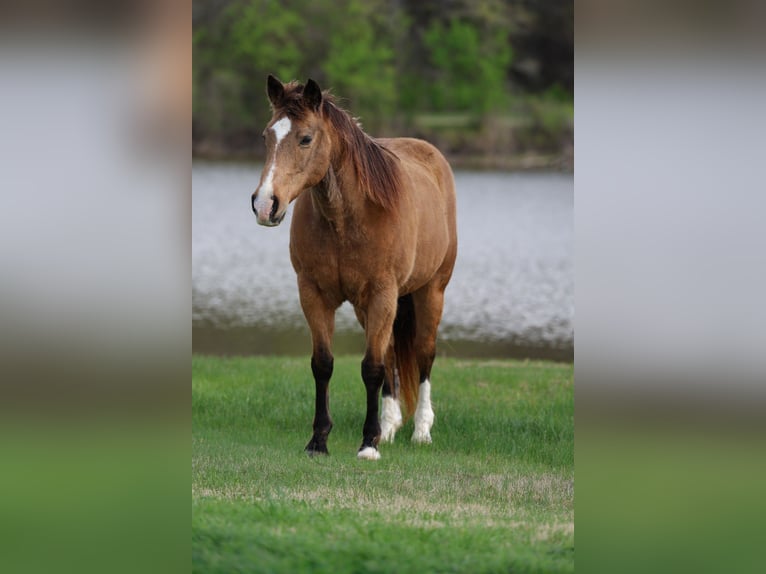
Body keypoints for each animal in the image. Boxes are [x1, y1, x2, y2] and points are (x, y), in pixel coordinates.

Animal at [251, 75, 457, 460]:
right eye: (266, 136)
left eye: (305, 138)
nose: (265, 204)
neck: (347, 219)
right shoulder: (314, 294)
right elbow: (324, 364)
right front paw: (318, 441)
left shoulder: (382, 294)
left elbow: (371, 368)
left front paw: (368, 444)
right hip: (370, 308)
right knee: (390, 352)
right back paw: (390, 426)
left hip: (430, 292)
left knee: (424, 353)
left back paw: (421, 430)